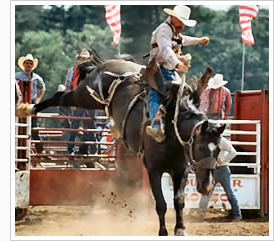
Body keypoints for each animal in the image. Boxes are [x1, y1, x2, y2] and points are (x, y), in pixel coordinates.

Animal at [17, 53, 227, 235]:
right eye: (200, 147)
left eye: (218, 150)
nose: (207, 187)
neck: (170, 127)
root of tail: (107, 64)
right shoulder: (153, 170)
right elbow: (161, 203)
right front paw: (163, 232)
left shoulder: (181, 170)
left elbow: (179, 201)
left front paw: (180, 229)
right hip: (86, 95)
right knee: (61, 95)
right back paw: (27, 108)